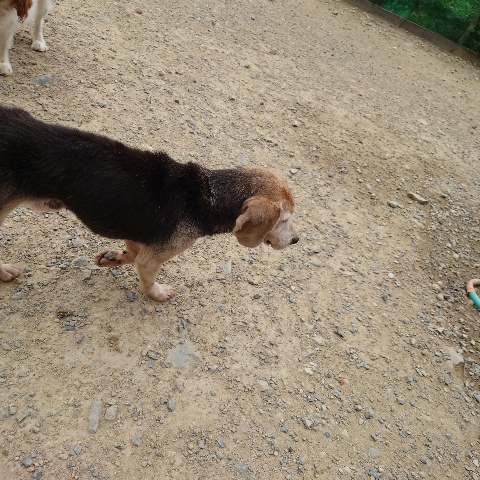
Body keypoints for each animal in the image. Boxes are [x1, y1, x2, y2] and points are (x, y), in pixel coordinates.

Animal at [0, 106, 299, 301]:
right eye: (284, 220)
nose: (296, 240)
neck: (206, 197)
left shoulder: (137, 234)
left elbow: (130, 253)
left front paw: (113, 258)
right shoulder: (153, 258)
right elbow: (147, 279)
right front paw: (158, 293)